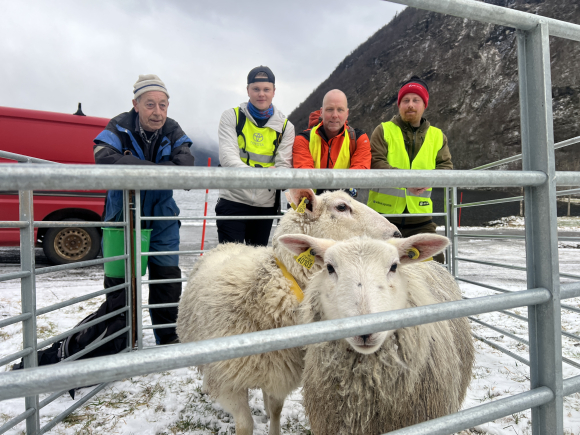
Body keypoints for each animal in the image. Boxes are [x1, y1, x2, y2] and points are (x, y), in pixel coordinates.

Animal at [177, 188, 404, 435]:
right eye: (342, 207)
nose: (397, 233)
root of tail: (229, 244)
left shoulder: (281, 371)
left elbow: (277, 408)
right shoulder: (229, 382)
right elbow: (245, 424)